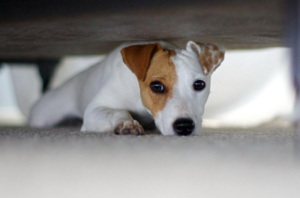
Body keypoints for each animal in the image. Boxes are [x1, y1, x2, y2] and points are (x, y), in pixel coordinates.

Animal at [29, 40, 225, 135]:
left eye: (199, 84)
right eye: (156, 86)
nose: (184, 126)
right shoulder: (94, 110)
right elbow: (117, 111)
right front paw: (127, 123)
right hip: (43, 116)